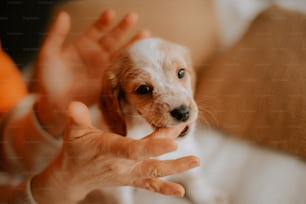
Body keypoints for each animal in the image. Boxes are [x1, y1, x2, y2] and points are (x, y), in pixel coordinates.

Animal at [95, 37, 227, 203]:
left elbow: (196, 179)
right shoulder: (118, 182)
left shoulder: (189, 150)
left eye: (181, 72)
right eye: (143, 89)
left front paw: (208, 197)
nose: (183, 113)